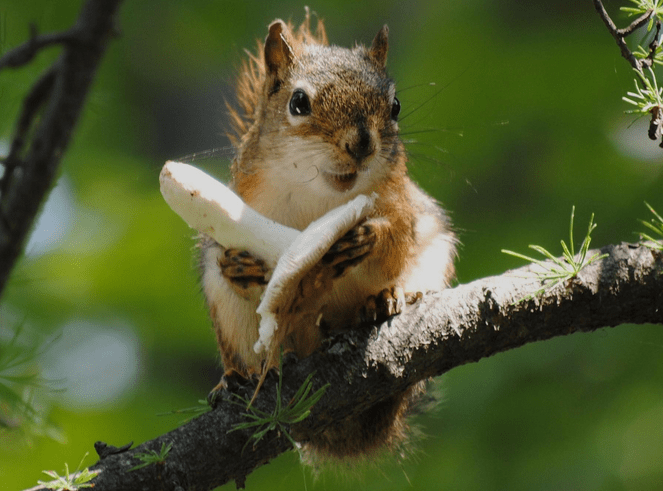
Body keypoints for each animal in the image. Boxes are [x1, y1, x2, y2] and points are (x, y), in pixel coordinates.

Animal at [198, 13, 456, 464]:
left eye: (395, 106)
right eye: (298, 103)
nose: (362, 143)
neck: (322, 196)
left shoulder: (403, 203)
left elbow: (396, 238)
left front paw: (371, 236)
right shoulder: (244, 206)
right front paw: (240, 265)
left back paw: (387, 300)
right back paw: (235, 379)